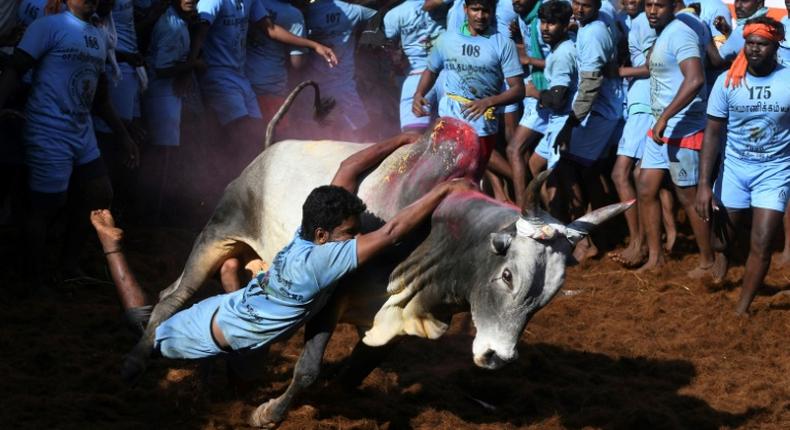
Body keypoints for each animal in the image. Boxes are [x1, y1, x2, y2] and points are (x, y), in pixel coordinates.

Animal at [122, 83, 632, 426]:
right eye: (507, 275)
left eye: (550, 294)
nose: (496, 357)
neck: (433, 241)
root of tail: (267, 151)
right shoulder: (330, 299)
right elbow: (308, 370)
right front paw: (268, 413)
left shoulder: (401, 317)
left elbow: (349, 376)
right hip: (218, 232)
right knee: (172, 297)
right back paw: (138, 363)